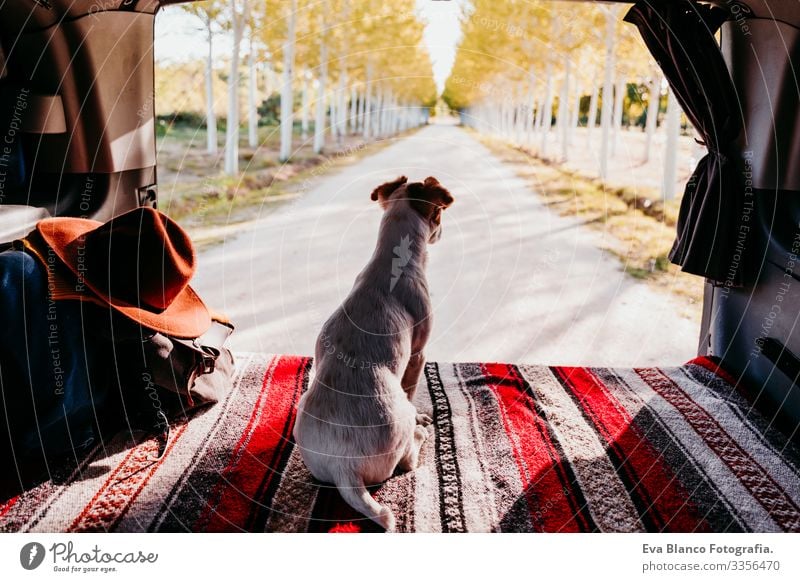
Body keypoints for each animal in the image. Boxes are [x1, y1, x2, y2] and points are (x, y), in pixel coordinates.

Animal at [294, 177, 456, 532]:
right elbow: (413, 387)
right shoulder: (418, 354)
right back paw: (421, 432)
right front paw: (423, 415)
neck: (391, 262)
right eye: (440, 214)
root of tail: (344, 468)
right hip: (401, 425)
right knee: (407, 459)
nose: (442, 233)